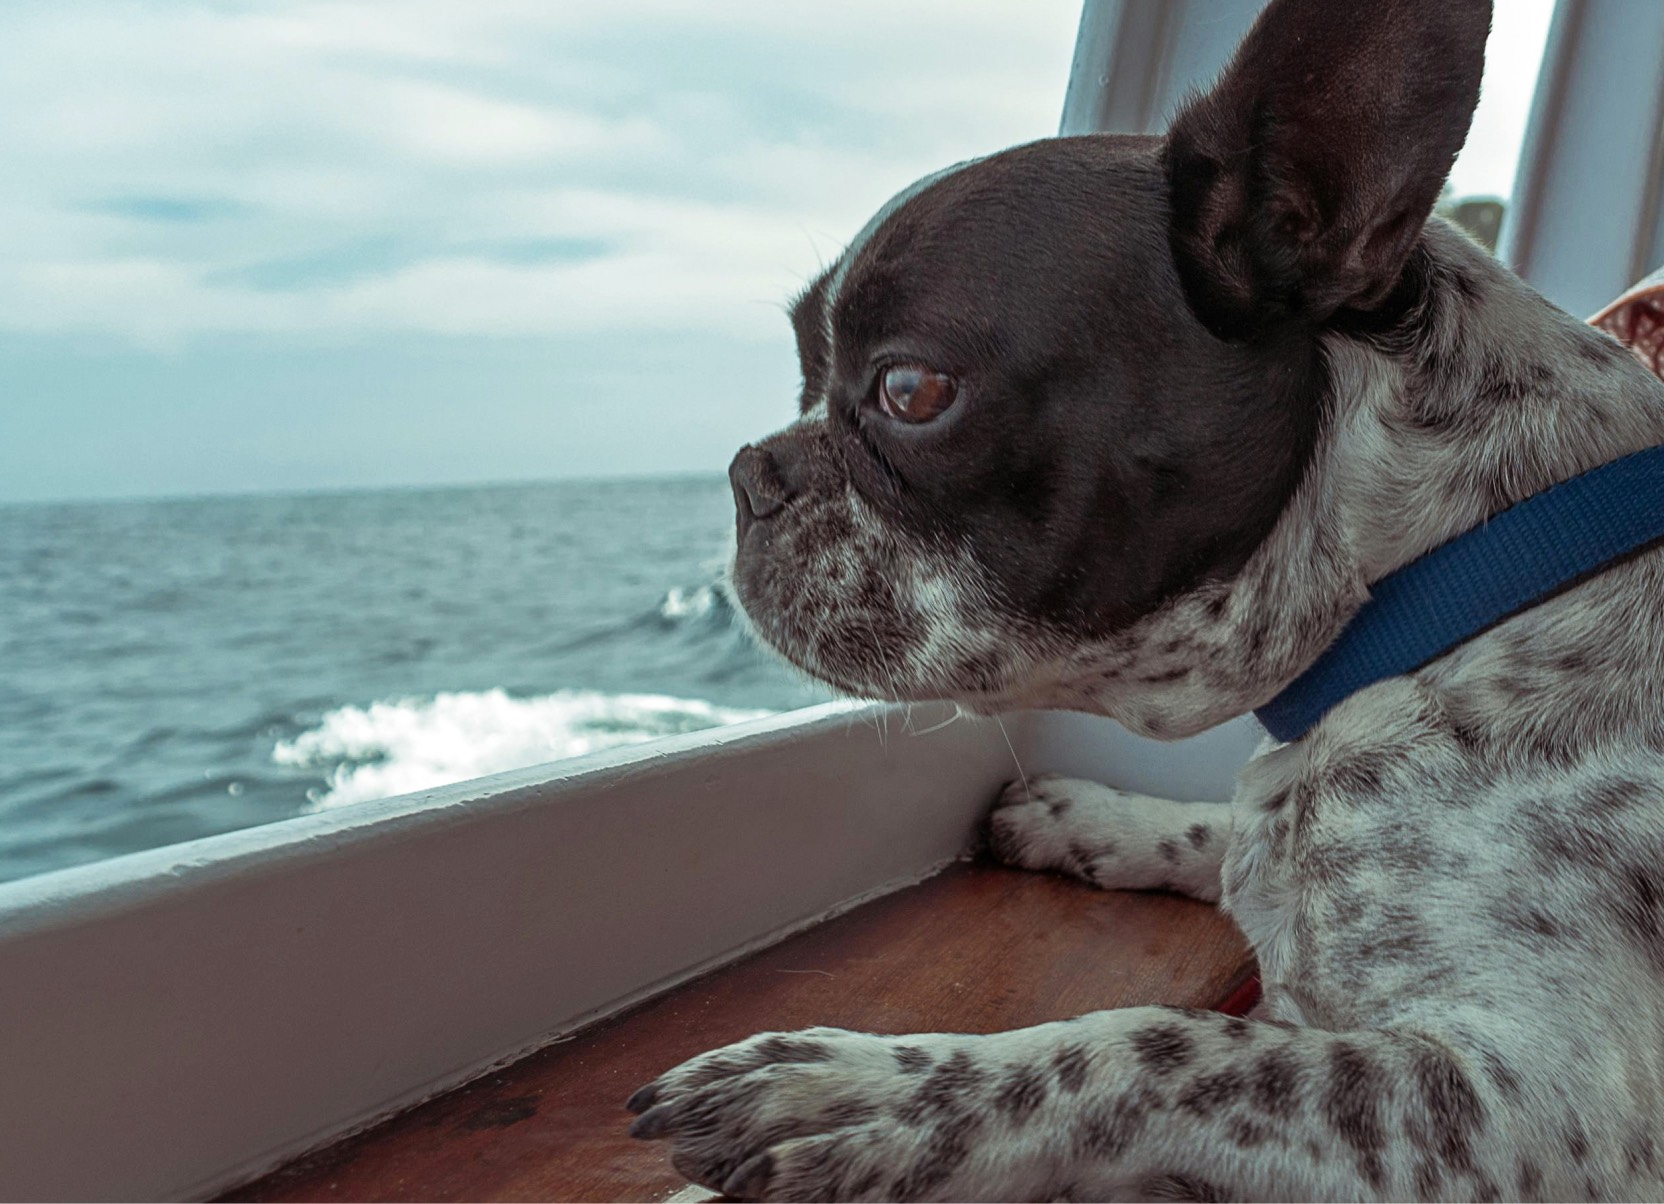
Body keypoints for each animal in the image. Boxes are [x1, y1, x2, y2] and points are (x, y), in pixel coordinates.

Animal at [625, 4, 1664, 1197]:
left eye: (909, 390)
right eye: (803, 369)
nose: (749, 473)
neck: (1443, 579)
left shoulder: (1528, 1113)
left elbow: (1154, 1043)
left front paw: (880, 1090)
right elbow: (1217, 833)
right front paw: (1092, 815)